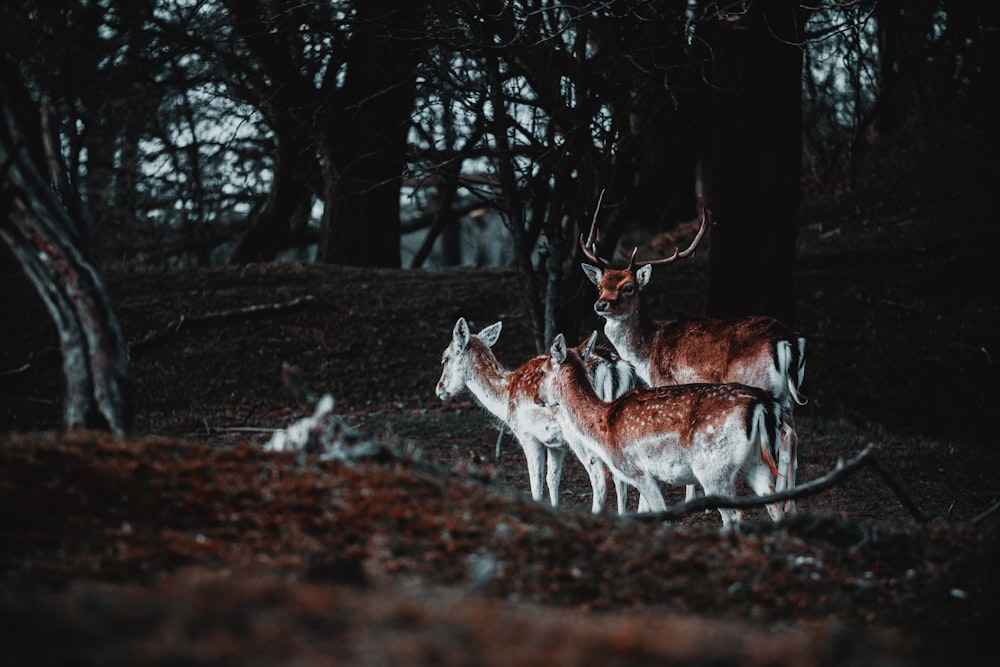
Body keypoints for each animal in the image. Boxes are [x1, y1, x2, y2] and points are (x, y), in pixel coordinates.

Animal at [434, 316, 636, 516]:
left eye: (445, 359)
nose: (439, 389)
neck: (505, 398)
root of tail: (612, 366)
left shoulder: (527, 435)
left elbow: (536, 483)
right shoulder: (556, 444)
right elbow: (552, 479)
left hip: (580, 433)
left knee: (600, 478)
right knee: (621, 479)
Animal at [540, 332, 788, 528]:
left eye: (542, 371)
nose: (538, 397)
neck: (603, 426)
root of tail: (762, 404)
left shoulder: (637, 470)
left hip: (713, 469)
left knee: (736, 514)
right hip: (756, 462)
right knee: (775, 506)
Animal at [580, 196, 804, 516]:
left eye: (628, 287)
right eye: (600, 286)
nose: (601, 305)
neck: (648, 352)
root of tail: (788, 341)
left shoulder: (666, 382)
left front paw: (693, 501)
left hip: (761, 383)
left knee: (785, 436)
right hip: (787, 396)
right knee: (793, 437)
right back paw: (790, 502)